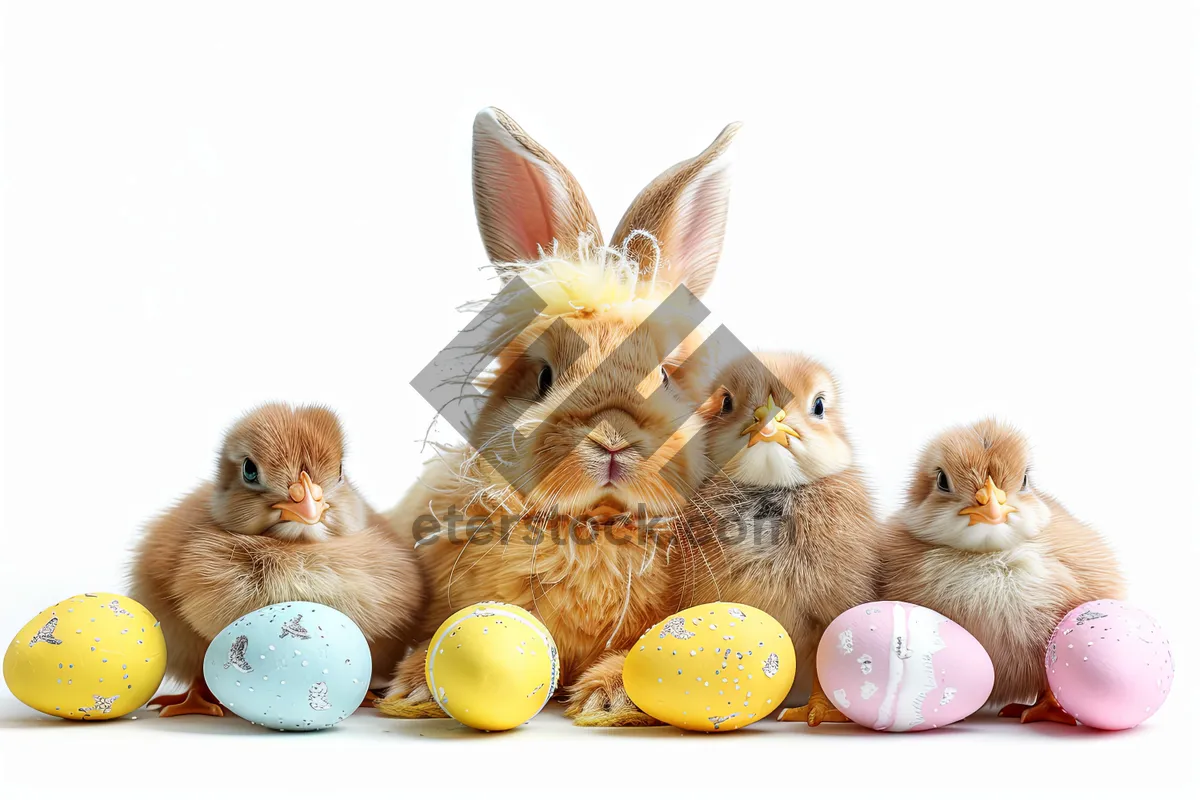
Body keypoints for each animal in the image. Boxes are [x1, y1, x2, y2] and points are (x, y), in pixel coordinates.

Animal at [379, 106, 739, 724]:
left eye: (666, 376)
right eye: (545, 377)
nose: (612, 439)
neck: (592, 525)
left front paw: (610, 694)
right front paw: (416, 687)